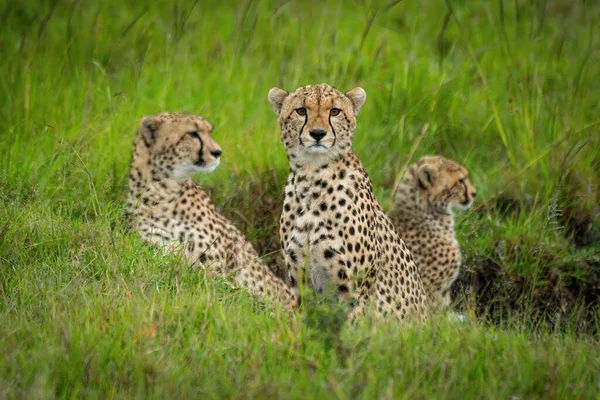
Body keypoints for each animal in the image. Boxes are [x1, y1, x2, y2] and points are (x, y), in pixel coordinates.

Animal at [125, 112, 298, 310]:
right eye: (193, 133)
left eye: (209, 131)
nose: (217, 152)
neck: (162, 192)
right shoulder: (162, 251)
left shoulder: (216, 267)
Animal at [266, 83, 426, 322]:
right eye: (301, 111)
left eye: (335, 111)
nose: (318, 133)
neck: (313, 176)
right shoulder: (301, 283)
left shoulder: (353, 290)